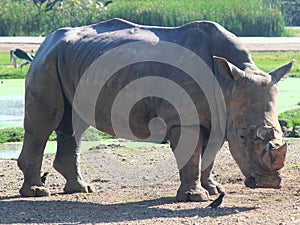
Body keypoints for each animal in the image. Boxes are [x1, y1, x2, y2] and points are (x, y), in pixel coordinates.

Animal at [17, 17, 294, 200]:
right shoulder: (184, 118)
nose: (268, 184)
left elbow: (210, 156)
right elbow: (192, 156)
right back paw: (37, 192)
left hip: (73, 60)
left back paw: (81, 189)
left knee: (74, 125)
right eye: (243, 136)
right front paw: (195, 197)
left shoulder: (220, 116)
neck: (228, 82)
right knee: (43, 126)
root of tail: (48, 38)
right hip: (47, 60)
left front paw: (214, 189)